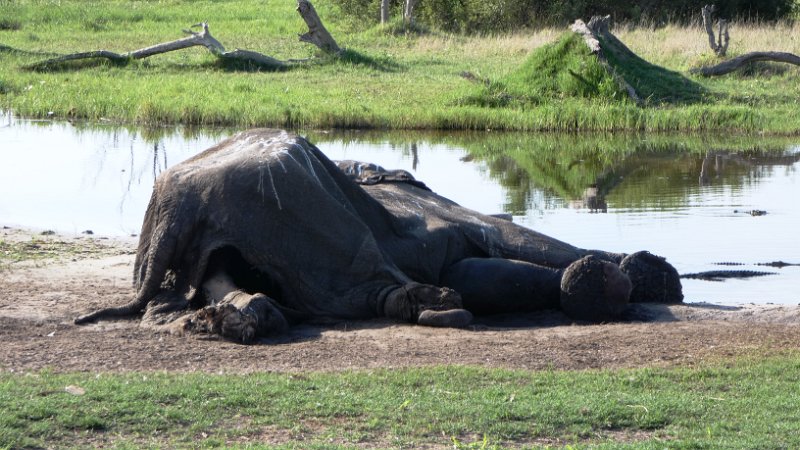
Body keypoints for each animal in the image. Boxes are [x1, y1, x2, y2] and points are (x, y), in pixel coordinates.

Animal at [75, 129, 682, 343]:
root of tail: (172, 208)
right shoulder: (439, 207)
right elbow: (509, 241)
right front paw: (646, 276)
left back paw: (240, 319)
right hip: (295, 199)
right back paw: (437, 306)